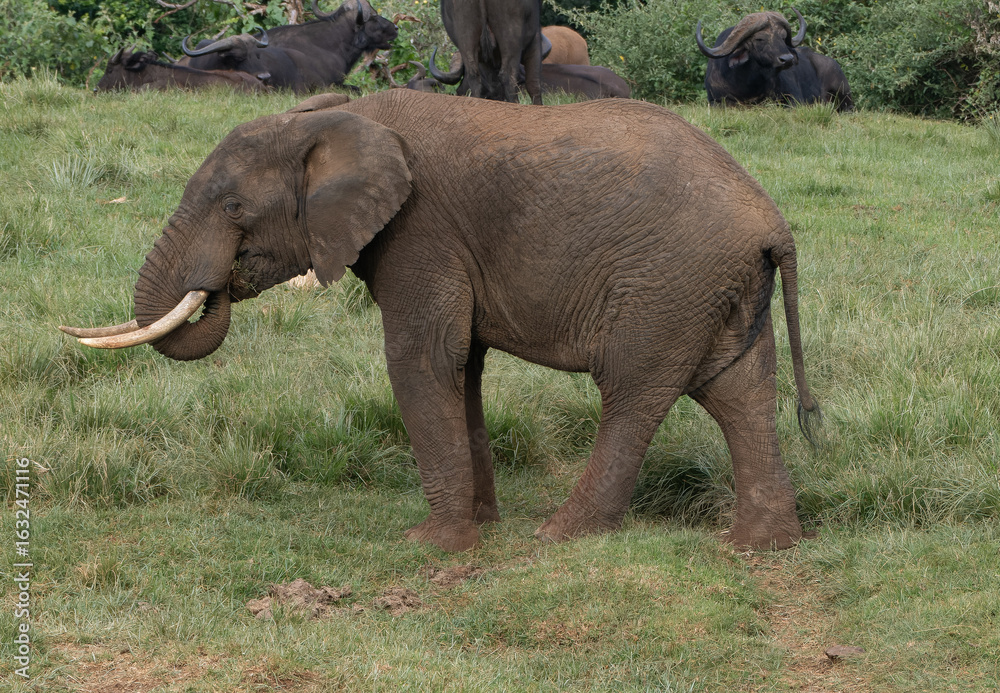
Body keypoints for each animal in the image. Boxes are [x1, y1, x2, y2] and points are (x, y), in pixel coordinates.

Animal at [61, 89, 820, 552]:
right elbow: (465, 368)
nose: (220, 283)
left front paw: (433, 546)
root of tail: (773, 221)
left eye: (232, 209)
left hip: (665, 283)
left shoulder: (420, 231)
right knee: (740, 392)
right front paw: (479, 525)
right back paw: (760, 544)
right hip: (712, 288)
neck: (342, 116)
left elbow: (421, 358)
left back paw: (561, 534)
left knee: (634, 392)